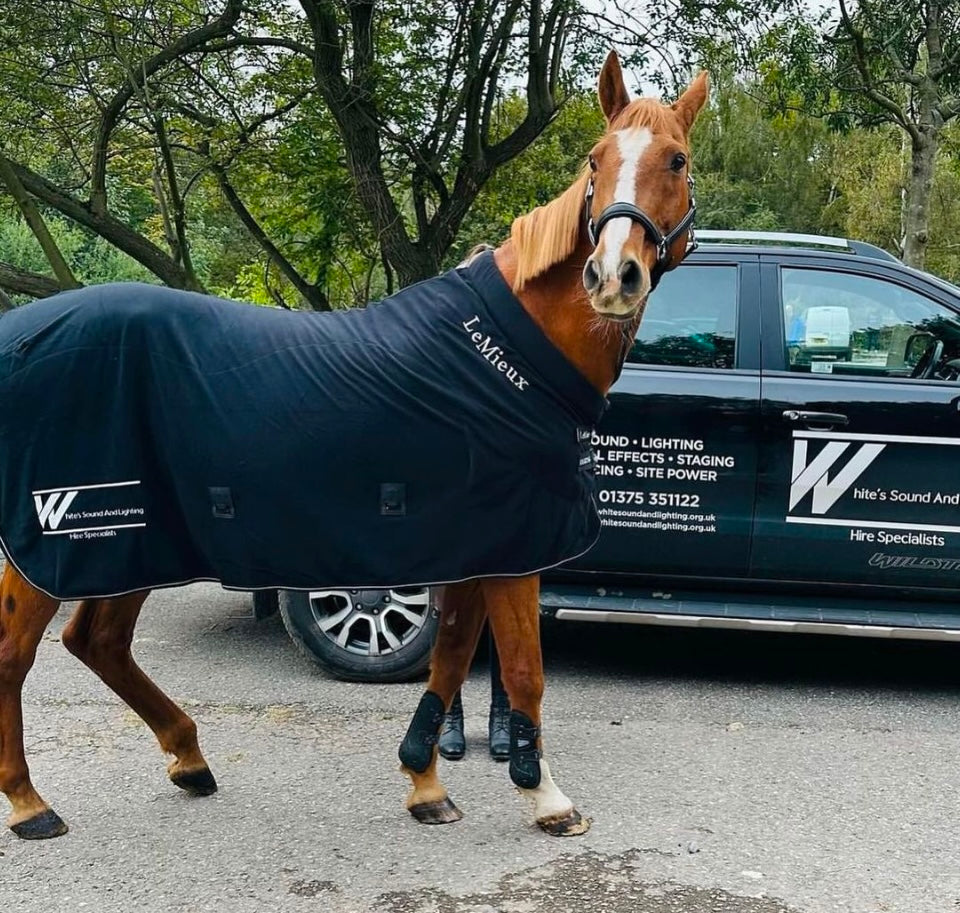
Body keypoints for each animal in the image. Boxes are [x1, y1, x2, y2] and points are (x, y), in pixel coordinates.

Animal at [0, 50, 707, 840]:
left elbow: (451, 657)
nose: (612, 275)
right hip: (59, 541)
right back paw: (30, 802)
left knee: (97, 641)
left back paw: (189, 759)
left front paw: (424, 782)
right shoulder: (512, 547)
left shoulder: (475, 541)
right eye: (595, 159)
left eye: (676, 160)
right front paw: (547, 798)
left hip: (134, 544)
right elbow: (522, 669)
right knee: (15, 655)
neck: (504, 356)